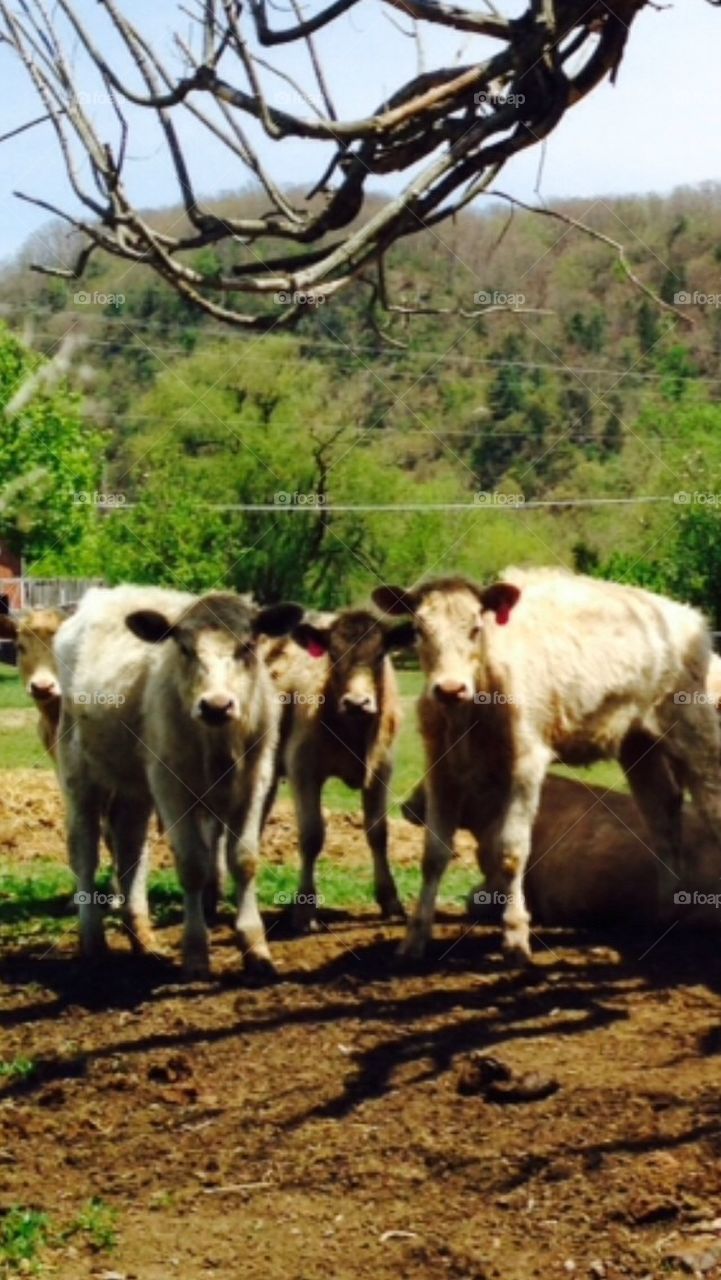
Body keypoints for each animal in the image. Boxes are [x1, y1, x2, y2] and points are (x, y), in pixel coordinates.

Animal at [125, 591, 303, 977]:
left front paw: (255, 945)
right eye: (185, 647)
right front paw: (195, 951)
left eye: (248, 645)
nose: (217, 706)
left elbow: (244, 859)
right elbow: (192, 864)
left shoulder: (255, 784)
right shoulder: (170, 788)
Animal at [260, 609, 415, 932]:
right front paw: (304, 910)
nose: (357, 702)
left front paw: (391, 902)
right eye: (332, 653)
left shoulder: (381, 770)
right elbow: (311, 836)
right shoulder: (303, 768)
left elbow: (378, 833)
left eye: (380, 654)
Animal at [373, 570, 721, 963]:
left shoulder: (526, 763)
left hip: (693, 727)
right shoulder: (443, 769)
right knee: (663, 819)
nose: (449, 688)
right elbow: (433, 854)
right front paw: (414, 939)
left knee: (711, 805)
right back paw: (663, 916)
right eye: (419, 630)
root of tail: (689, 617)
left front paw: (515, 938)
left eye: (476, 628)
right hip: (638, 746)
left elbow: (511, 851)